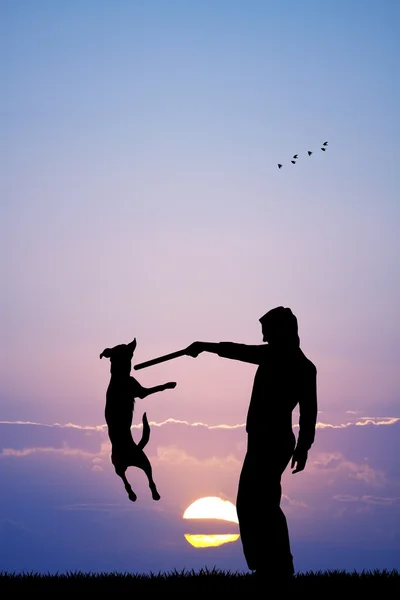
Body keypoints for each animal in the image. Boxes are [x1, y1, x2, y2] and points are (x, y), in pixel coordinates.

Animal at [99, 338, 175, 502]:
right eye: (124, 347)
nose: (132, 341)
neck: (119, 374)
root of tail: (130, 456)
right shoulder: (140, 392)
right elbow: (157, 387)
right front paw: (170, 384)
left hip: (120, 466)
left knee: (126, 481)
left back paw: (133, 495)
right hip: (143, 461)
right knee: (148, 480)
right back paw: (153, 494)